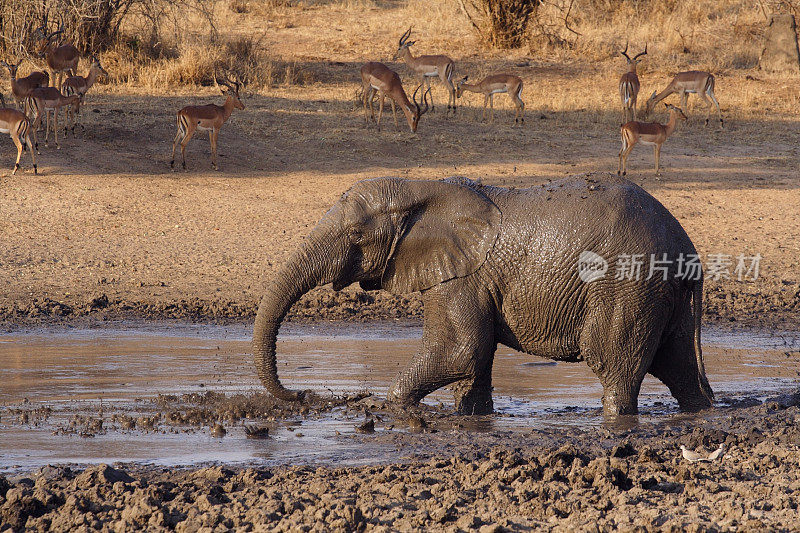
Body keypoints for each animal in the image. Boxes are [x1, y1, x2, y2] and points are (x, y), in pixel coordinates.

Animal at [250, 174, 712, 416]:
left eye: (355, 235)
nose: (305, 395)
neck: (421, 188)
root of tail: (686, 249)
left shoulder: (462, 278)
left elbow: (460, 350)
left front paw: (389, 407)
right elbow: (472, 362)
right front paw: (472, 418)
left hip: (628, 287)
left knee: (613, 362)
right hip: (659, 295)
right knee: (680, 368)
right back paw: (701, 410)